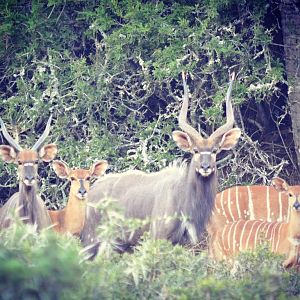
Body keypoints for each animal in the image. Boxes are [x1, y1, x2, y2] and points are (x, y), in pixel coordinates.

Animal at [81, 71, 241, 256]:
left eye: (215, 151)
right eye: (195, 150)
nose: (206, 167)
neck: (182, 195)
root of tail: (91, 192)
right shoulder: (158, 237)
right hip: (95, 240)